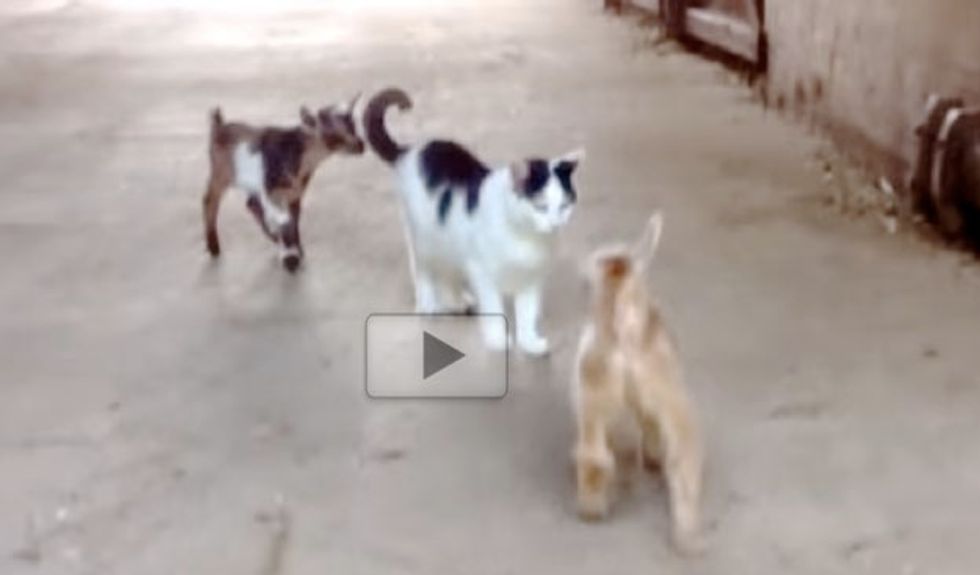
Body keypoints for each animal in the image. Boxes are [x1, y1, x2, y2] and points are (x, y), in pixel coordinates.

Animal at [366, 88, 580, 356]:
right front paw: (498, 340)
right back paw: (429, 304)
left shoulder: (531, 279)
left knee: (448, 271)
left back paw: (459, 300)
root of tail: (411, 151)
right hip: (424, 238)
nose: (555, 224)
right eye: (540, 207)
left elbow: (528, 313)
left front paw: (529, 342)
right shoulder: (483, 272)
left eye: (565, 206)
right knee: (424, 270)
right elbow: (494, 307)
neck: (524, 237)